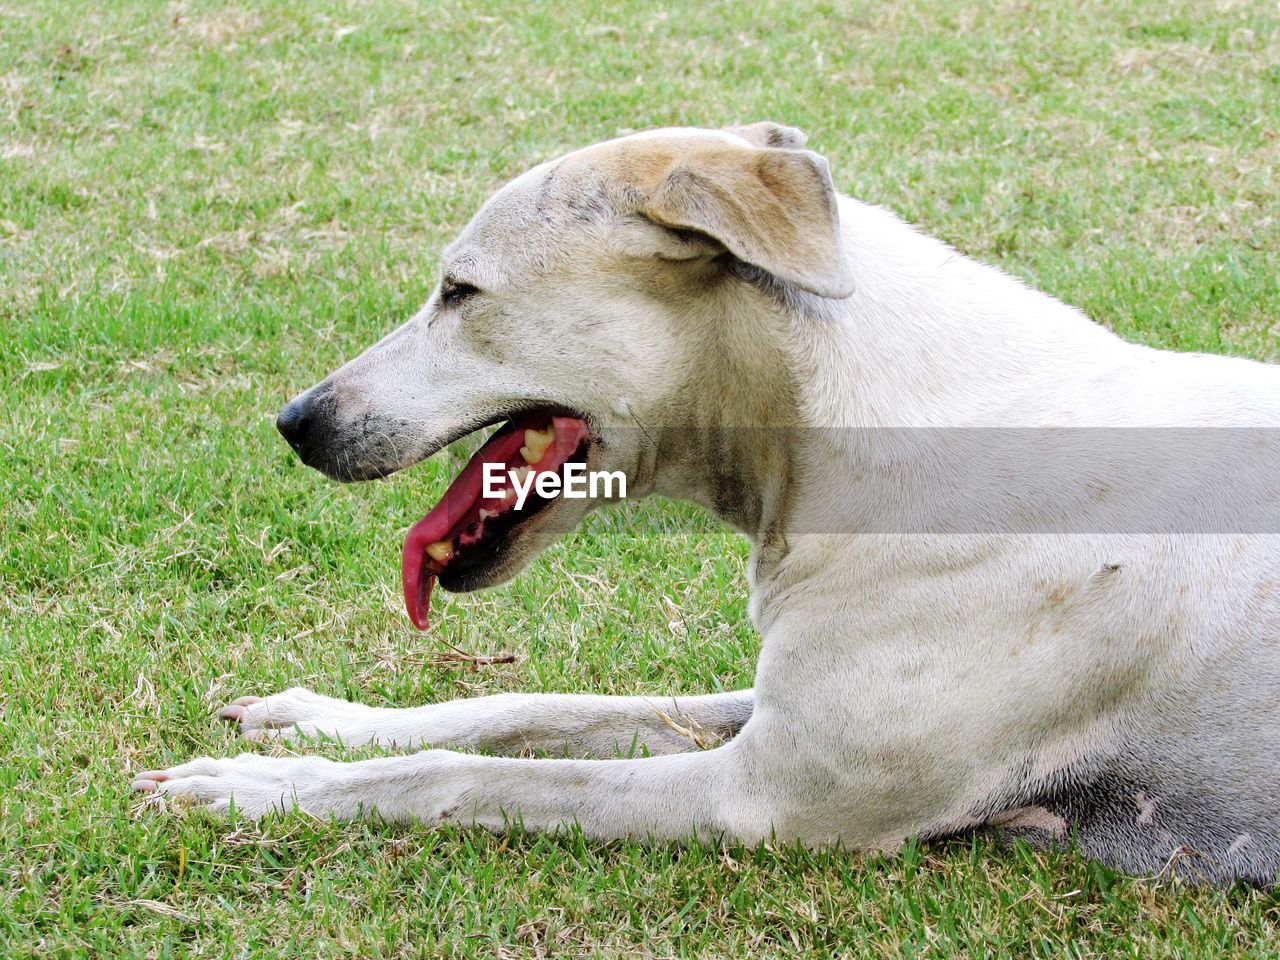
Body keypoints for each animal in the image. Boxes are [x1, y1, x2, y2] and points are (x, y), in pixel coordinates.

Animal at [132, 124, 1280, 890]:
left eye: (460, 293)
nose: (296, 422)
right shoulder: (762, 714)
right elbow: (528, 708)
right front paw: (318, 722)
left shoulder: (761, 799)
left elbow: (460, 777)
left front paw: (257, 788)